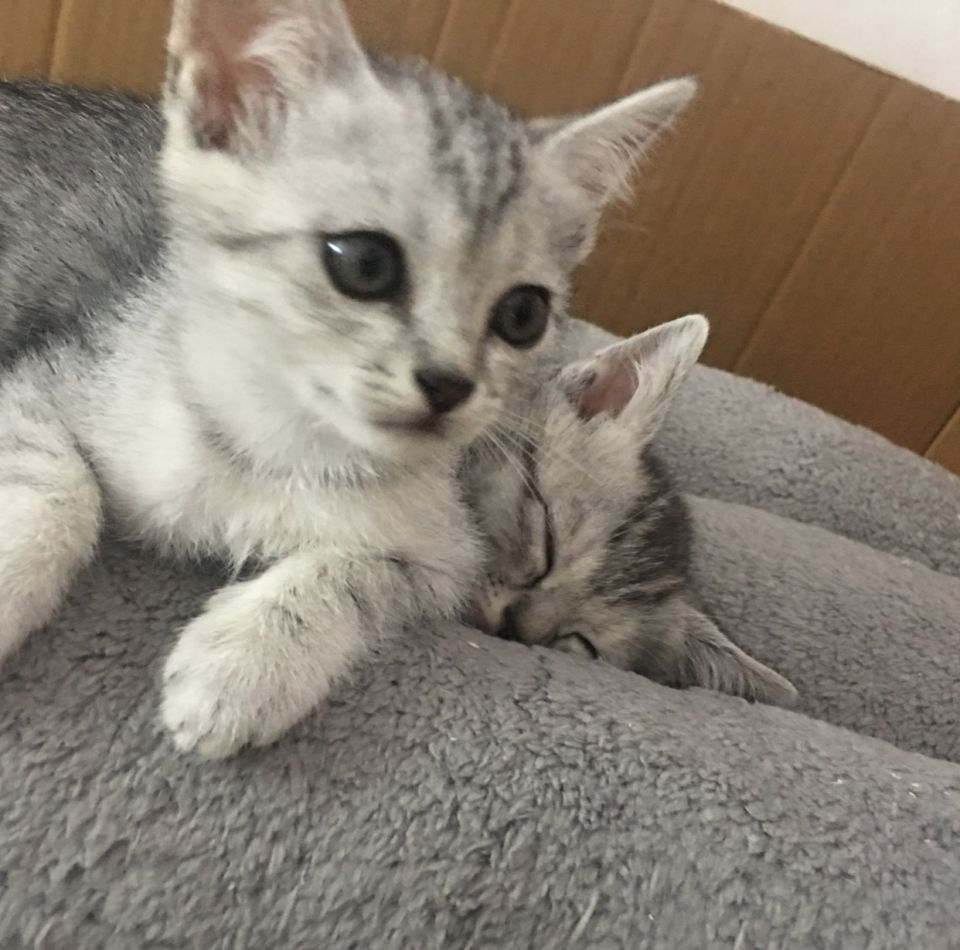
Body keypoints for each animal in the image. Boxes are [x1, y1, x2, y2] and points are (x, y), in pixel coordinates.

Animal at [0, 0, 696, 756]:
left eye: (523, 315)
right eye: (364, 263)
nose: (449, 383)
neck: (284, 451)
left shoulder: (442, 565)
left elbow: (361, 574)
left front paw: (248, 664)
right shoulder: (55, 372)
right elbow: (61, 485)